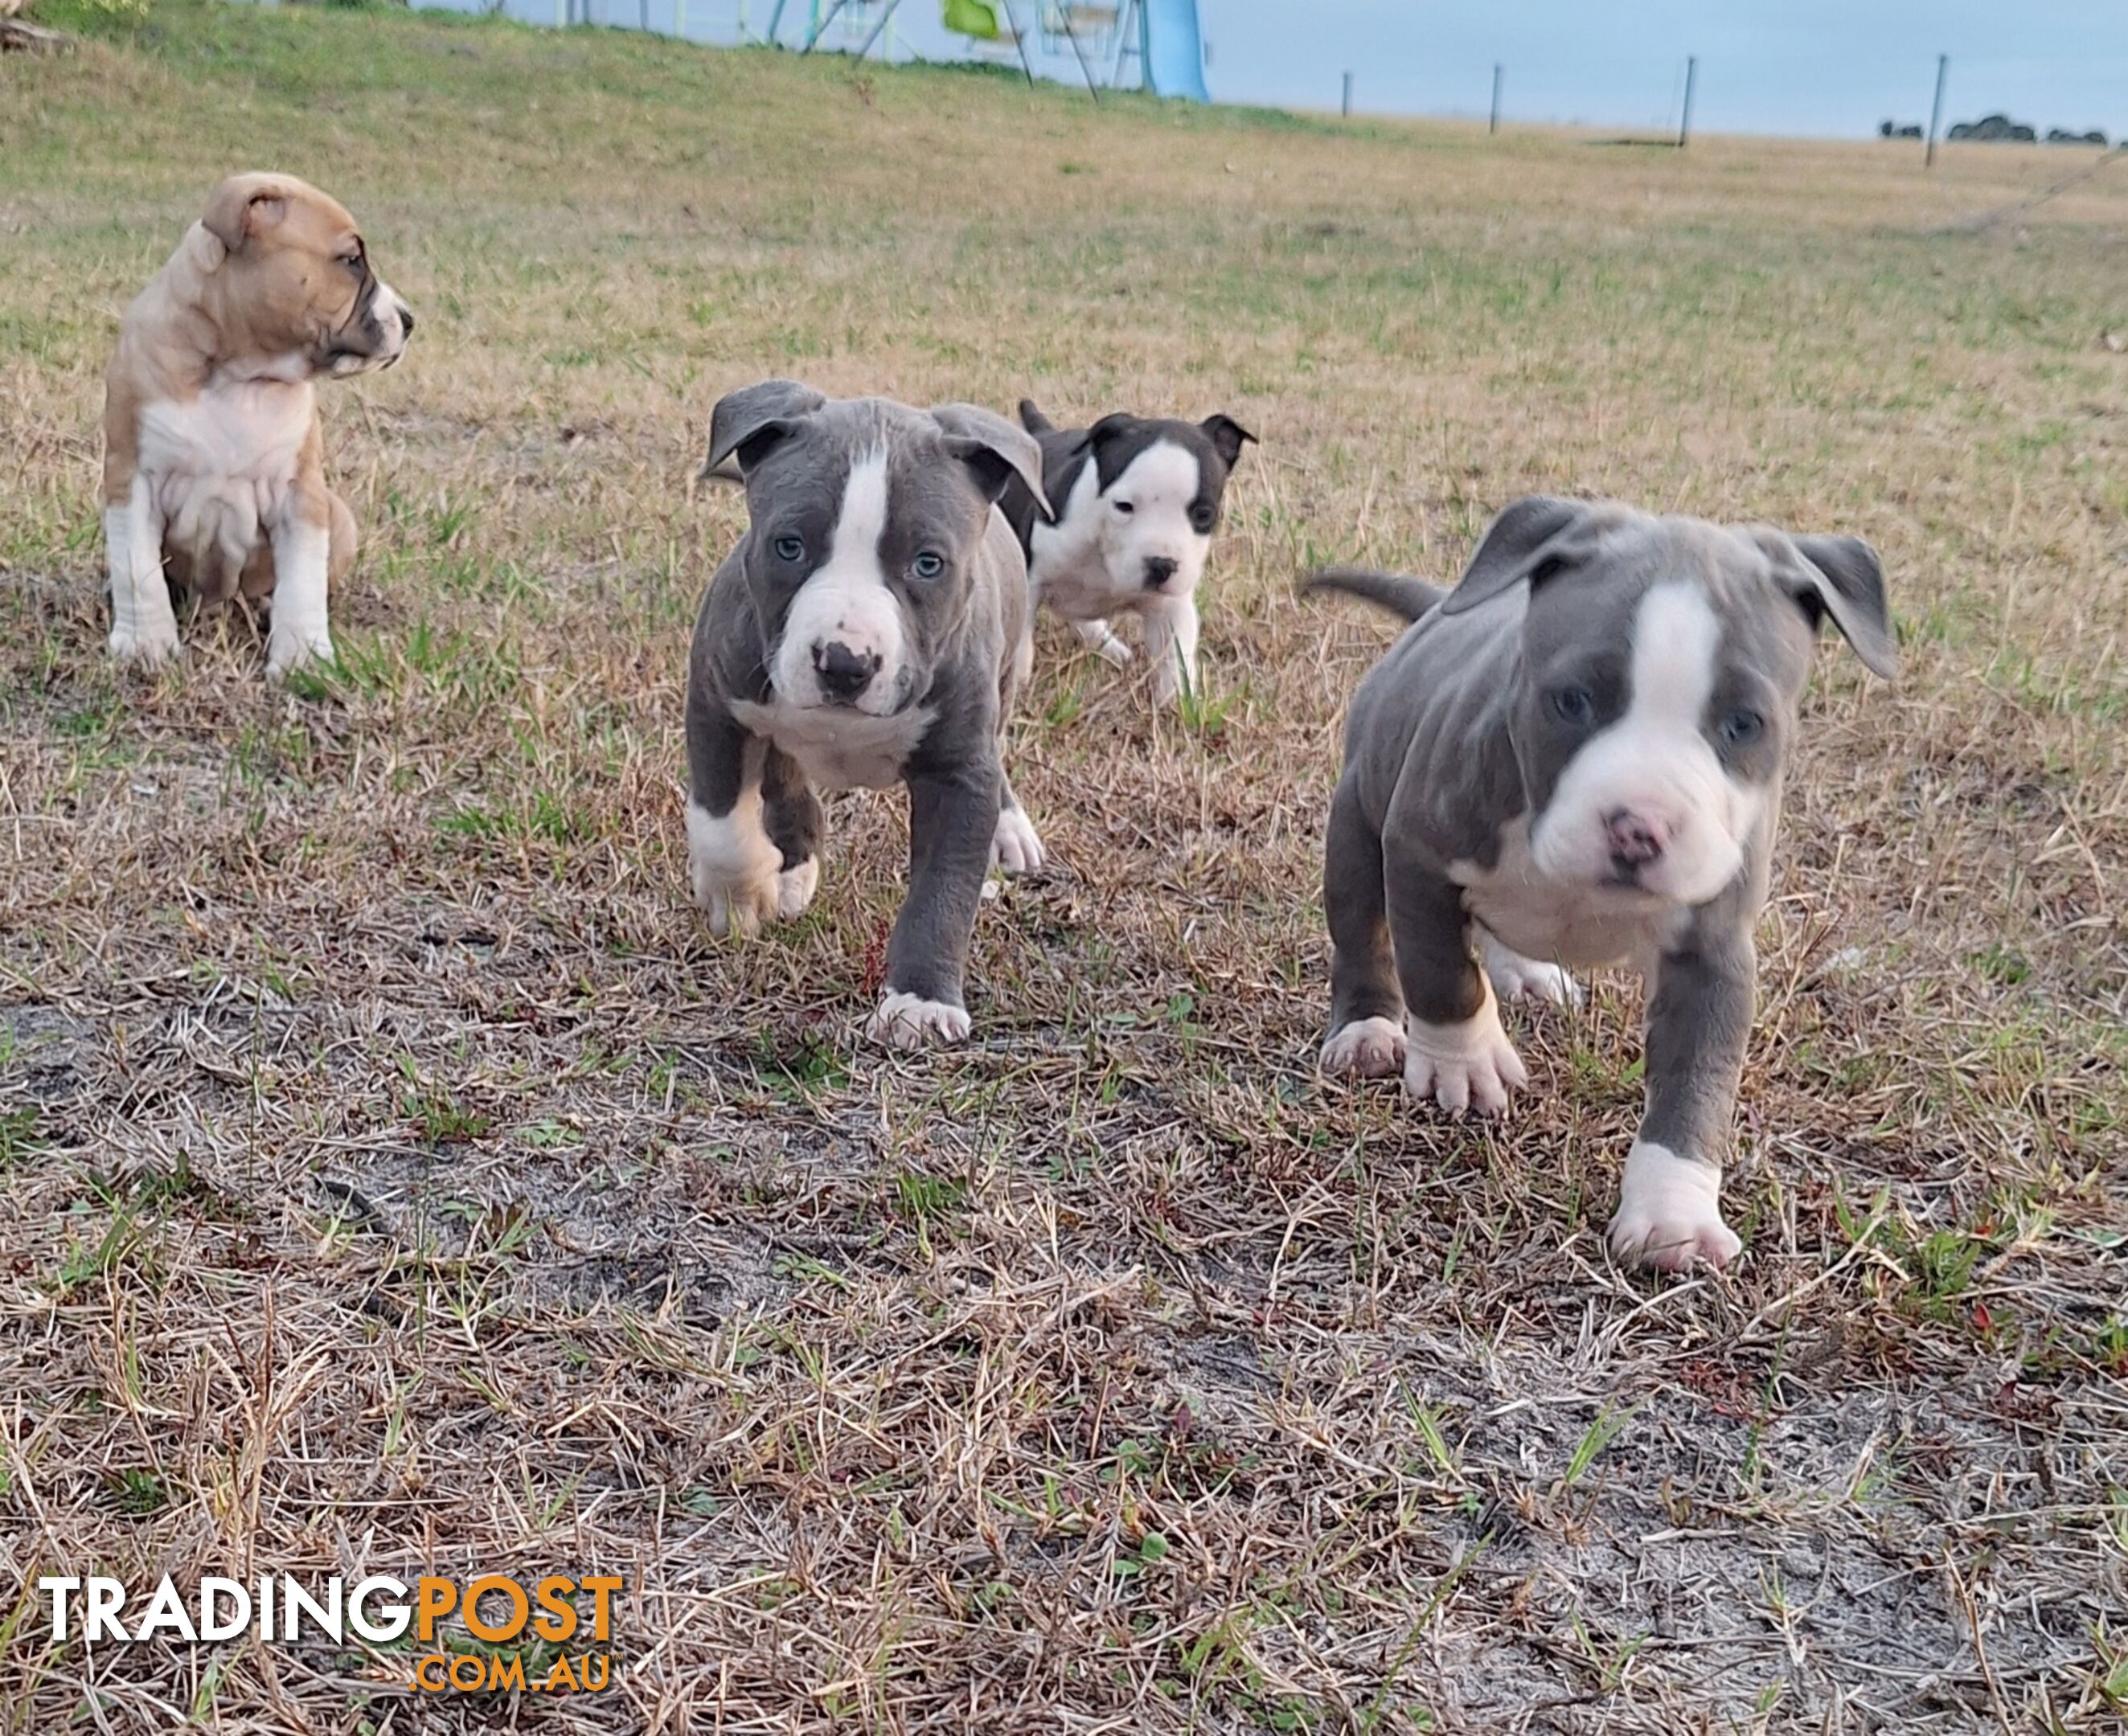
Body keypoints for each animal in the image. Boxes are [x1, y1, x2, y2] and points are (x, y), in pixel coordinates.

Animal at [101, 171, 415, 676]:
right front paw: (144, 643)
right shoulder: (131, 481)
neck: (239, 376)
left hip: (340, 518)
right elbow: (137, 569)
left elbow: (303, 580)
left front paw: (303, 655)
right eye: (351, 261)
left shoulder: (301, 495)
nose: (409, 320)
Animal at [685, 383, 1051, 1042]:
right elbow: (721, 824)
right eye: (789, 546)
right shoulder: (717, 703)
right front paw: (742, 895)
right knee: (784, 779)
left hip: (1010, 675)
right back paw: (791, 870)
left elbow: (943, 889)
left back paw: (1011, 832)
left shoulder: (959, 770)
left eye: (928, 563)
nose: (845, 663)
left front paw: (921, 1003)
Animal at [1004, 399, 1251, 706]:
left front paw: (1178, 703)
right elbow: (1020, 642)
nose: (1162, 564)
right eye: (1124, 506)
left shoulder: (1170, 606)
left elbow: (1176, 657)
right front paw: (1016, 686)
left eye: (1204, 515)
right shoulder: (1030, 581)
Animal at [1310, 502, 1898, 1276]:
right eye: (1571, 701)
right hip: (1356, 823)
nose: (1637, 828)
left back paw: (1526, 973)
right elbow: (1441, 973)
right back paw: (1368, 1031)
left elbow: (1696, 1081)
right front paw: (1465, 1064)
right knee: (1364, 934)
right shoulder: (1417, 852)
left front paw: (1673, 1217)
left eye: (1744, 723)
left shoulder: (1713, 951)